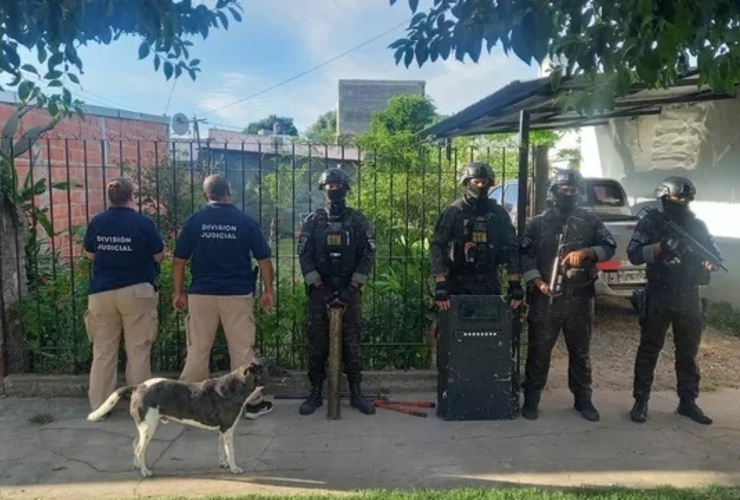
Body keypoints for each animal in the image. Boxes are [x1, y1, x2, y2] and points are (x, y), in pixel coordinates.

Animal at [88, 358, 290, 478]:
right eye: (271, 367)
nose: (288, 373)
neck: (236, 386)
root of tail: (138, 386)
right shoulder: (228, 429)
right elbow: (231, 451)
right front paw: (234, 468)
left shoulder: (222, 429)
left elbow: (221, 449)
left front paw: (224, 464)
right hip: (149, 428)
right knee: (139, 449)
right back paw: (145, 471)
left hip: (144, 426)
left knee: (135, 445)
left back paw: (138, 466)